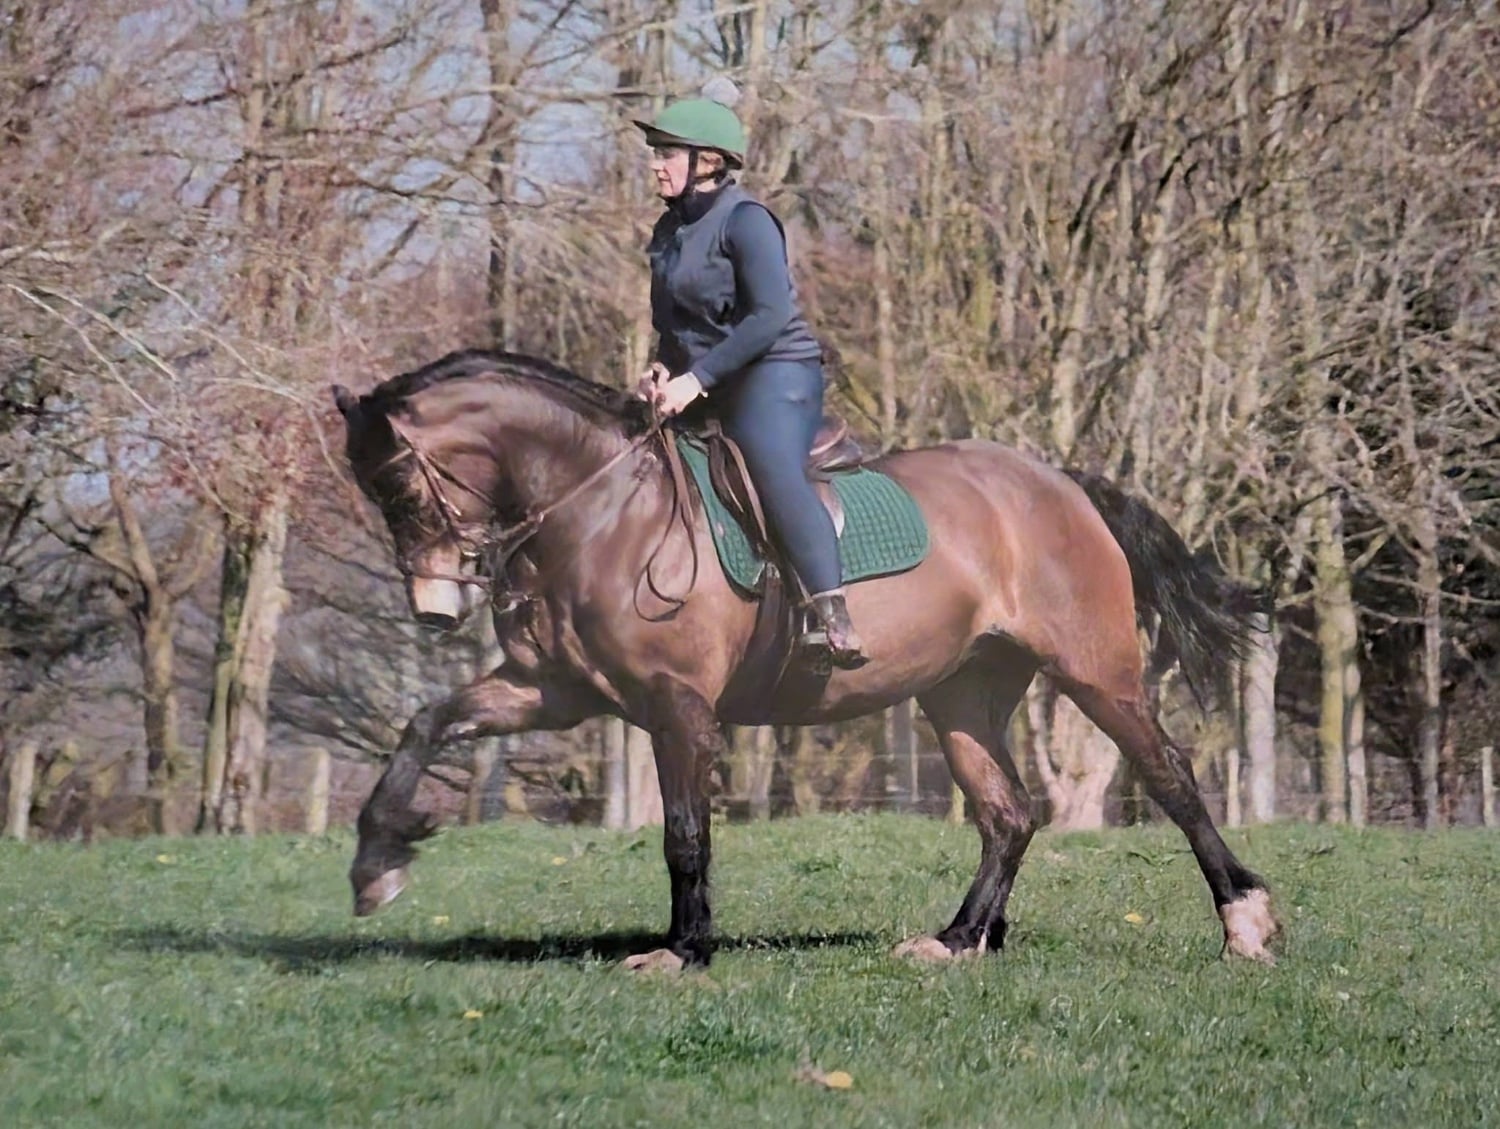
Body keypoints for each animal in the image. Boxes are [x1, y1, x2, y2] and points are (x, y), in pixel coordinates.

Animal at [330, 348, 1279, 970]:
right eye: (373, 493)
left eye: (402, 485)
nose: (435, 609)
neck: (603, 511)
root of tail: (1064, 484)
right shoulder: (552, 691)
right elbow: (425, 724)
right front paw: (378, 866)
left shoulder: (678, 707)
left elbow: (685, 832)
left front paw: (684, 950)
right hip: (961, 697)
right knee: (1007, 814)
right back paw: (956, 940)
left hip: (1095, 673)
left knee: (1170, 778)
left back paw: (1244, 922)